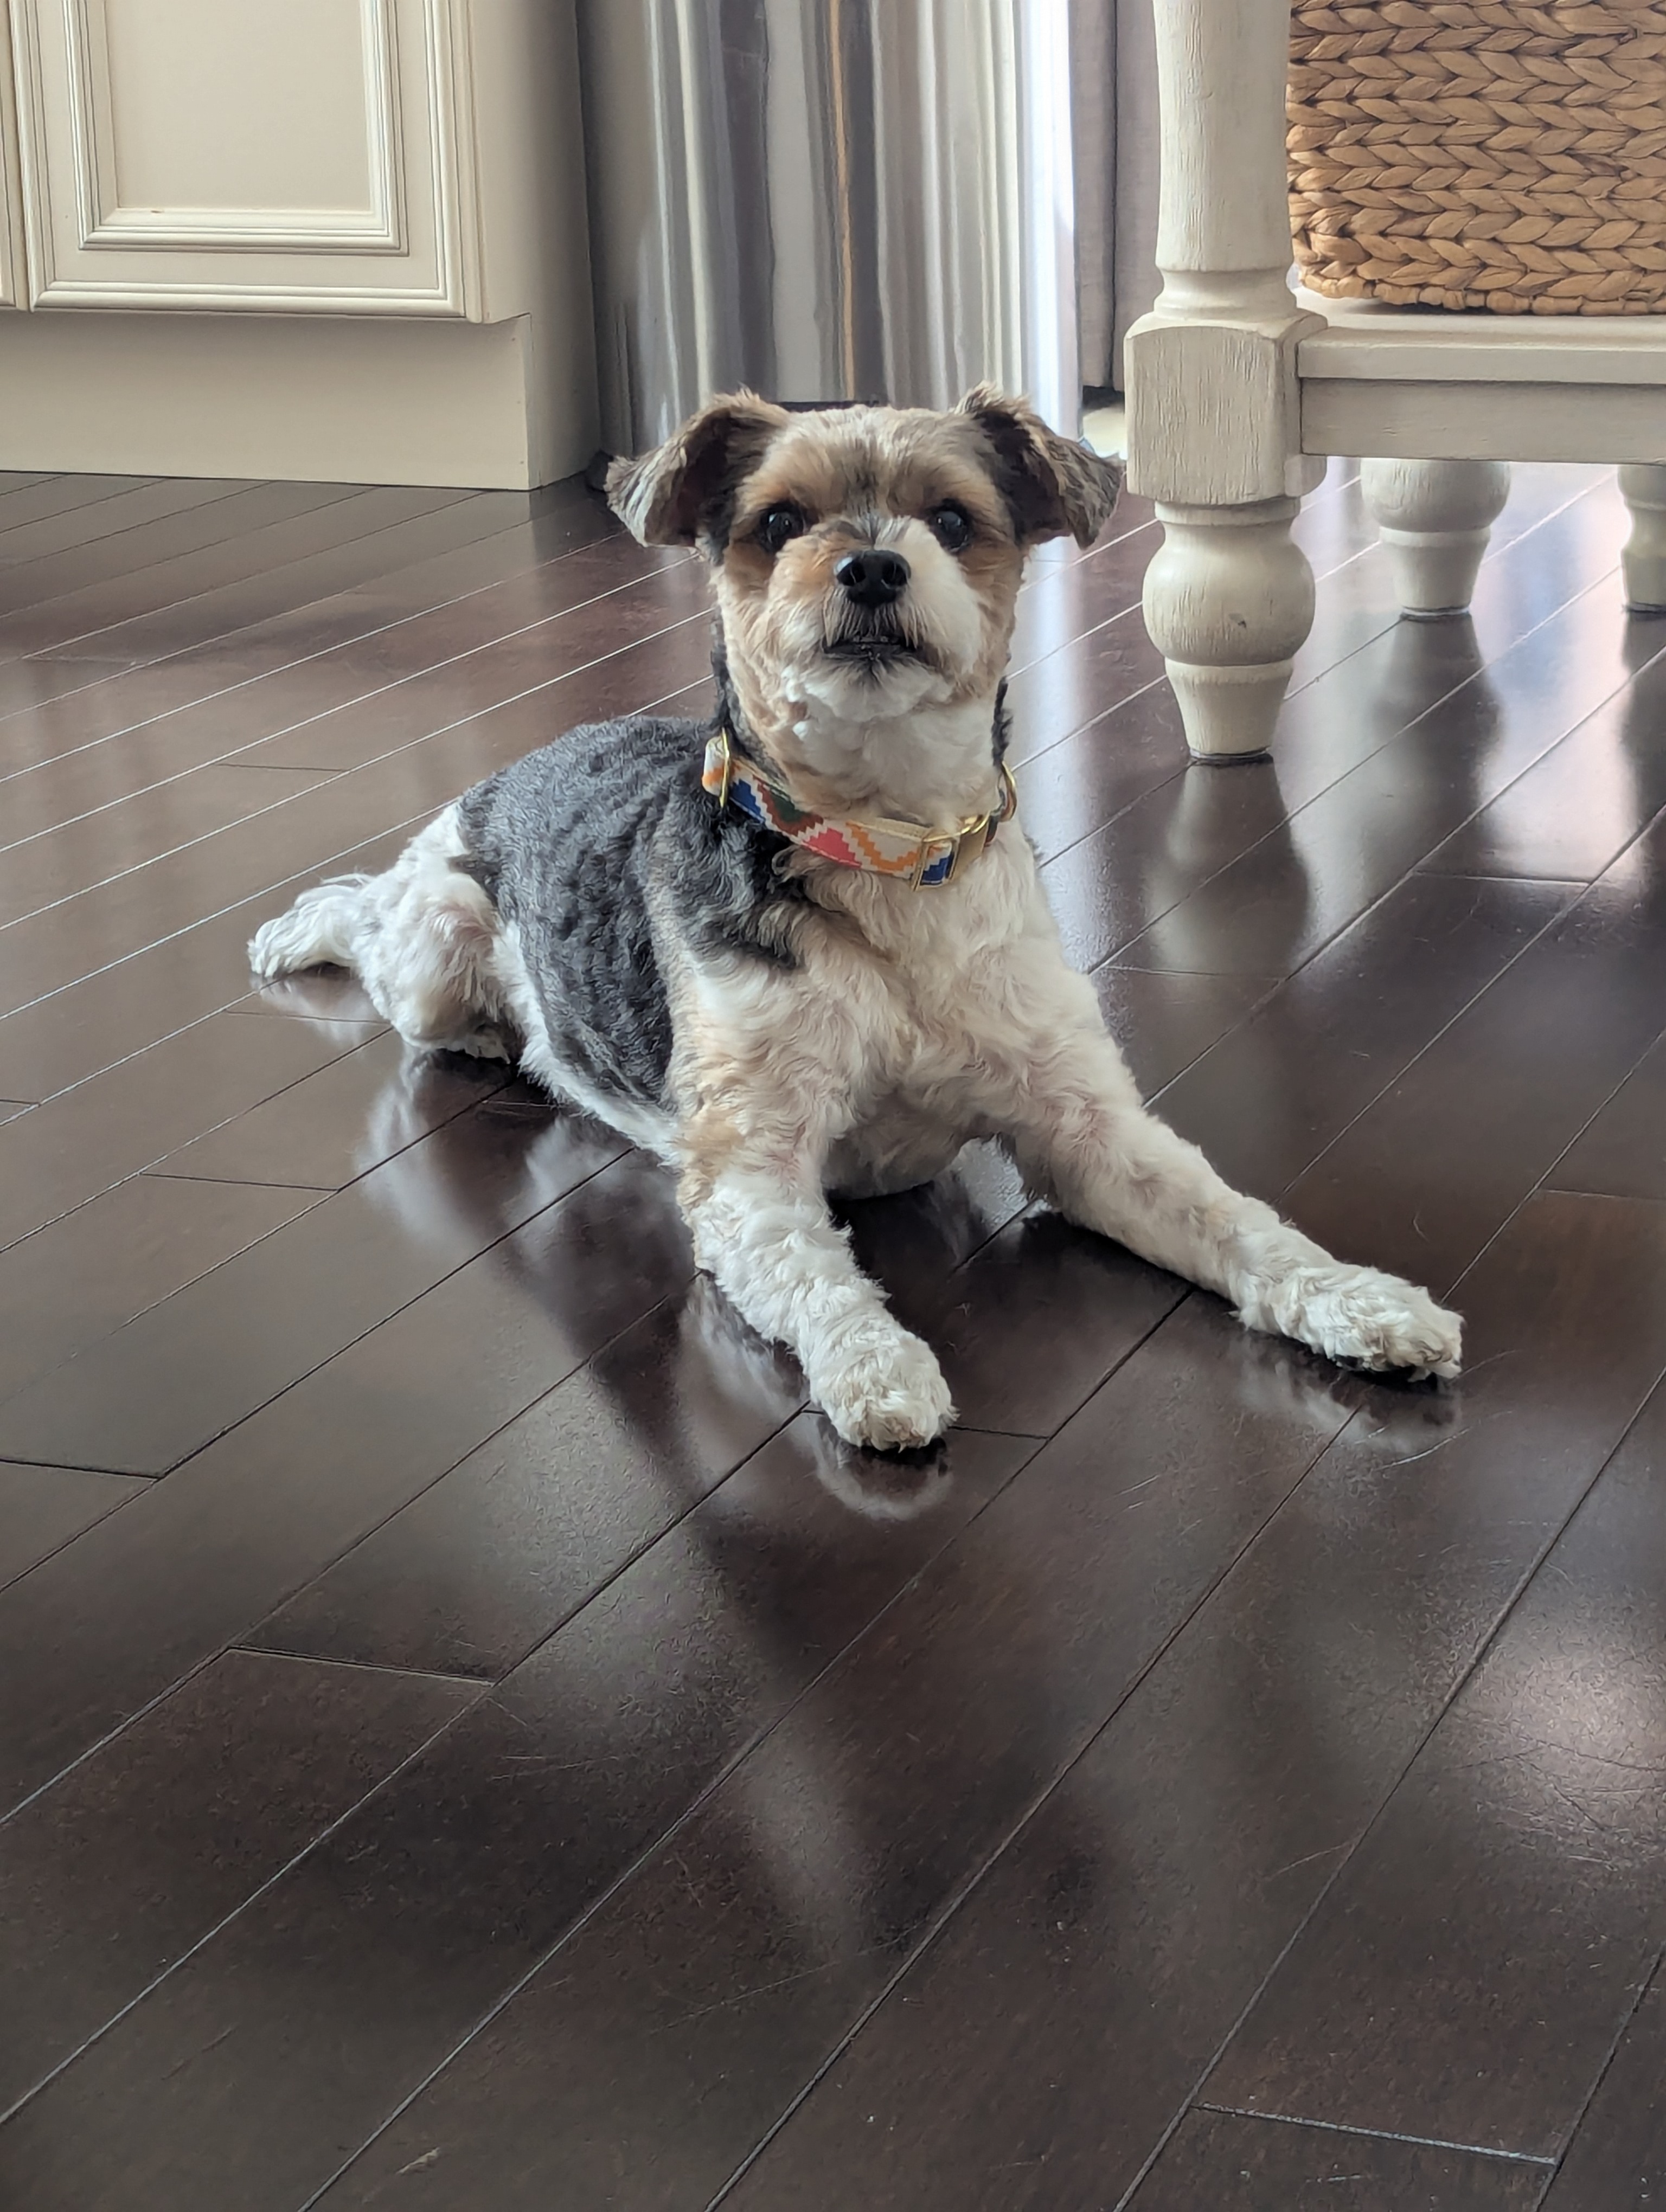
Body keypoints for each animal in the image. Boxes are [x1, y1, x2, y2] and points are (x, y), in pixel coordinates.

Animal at [249, 388, 1462, 1449]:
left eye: (954, 521)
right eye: (778, 521)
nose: (872, 564)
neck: (885, 850)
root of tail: (512, 771)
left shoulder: (1084, 1129)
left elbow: (1235, 1220)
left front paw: (1363, 1302)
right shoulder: (754, 1164)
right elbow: (820, 1280)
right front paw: (879, 1373)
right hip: (436, 950)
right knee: (374, 929)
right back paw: (317, 937)